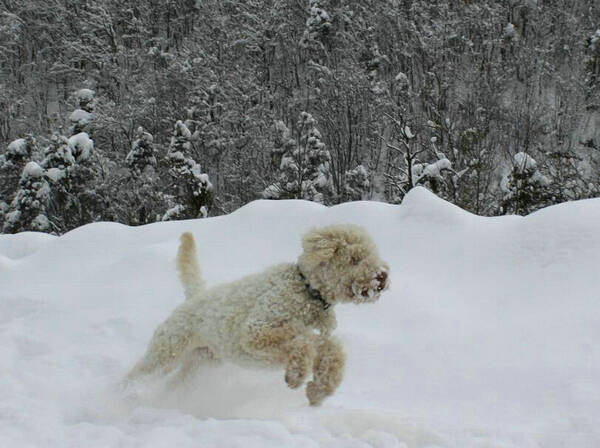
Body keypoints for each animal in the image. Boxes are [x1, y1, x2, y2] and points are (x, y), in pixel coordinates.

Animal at [126, 226, 390, 404]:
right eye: (355, 258)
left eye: (373, 254)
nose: (383, 277)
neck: (307, 290)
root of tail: (195, 297)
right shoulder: (256, 330)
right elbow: (301, 338)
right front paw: (297, 373)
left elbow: (331, 349)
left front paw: (319, 389)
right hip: (165, 353)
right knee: (133, 377)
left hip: (200, 363)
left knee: (174, 383)